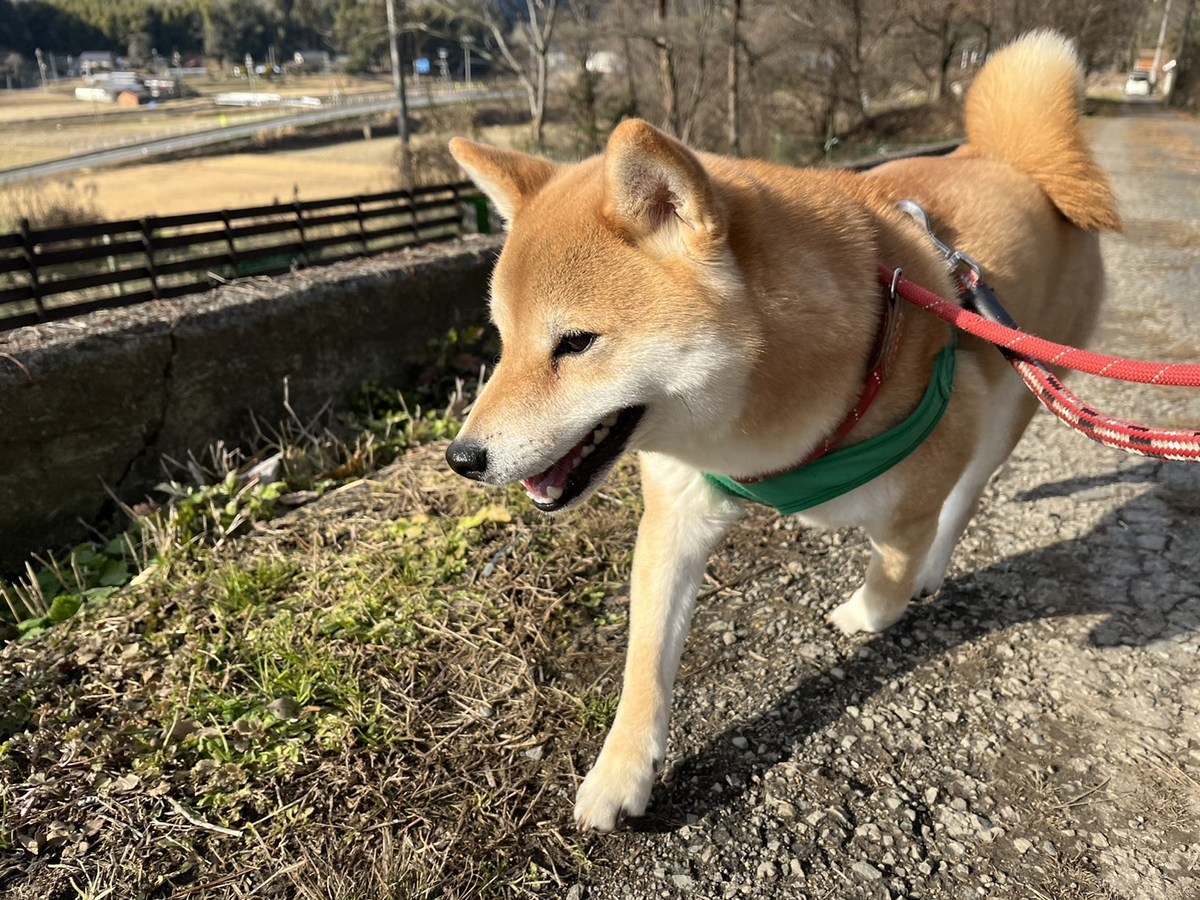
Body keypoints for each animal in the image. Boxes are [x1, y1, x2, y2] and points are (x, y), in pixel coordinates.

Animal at [446, 30, 1118, 830]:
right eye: (502, 339)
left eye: (576, 343)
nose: (461, 458)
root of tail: (1019, 162)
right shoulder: (677, 507)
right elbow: (647, 660)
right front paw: (620, 772)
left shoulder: (935, 462)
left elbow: (890, 573)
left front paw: (869, 609)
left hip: (1016, 400)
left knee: (966, 497)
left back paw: (932, 567)